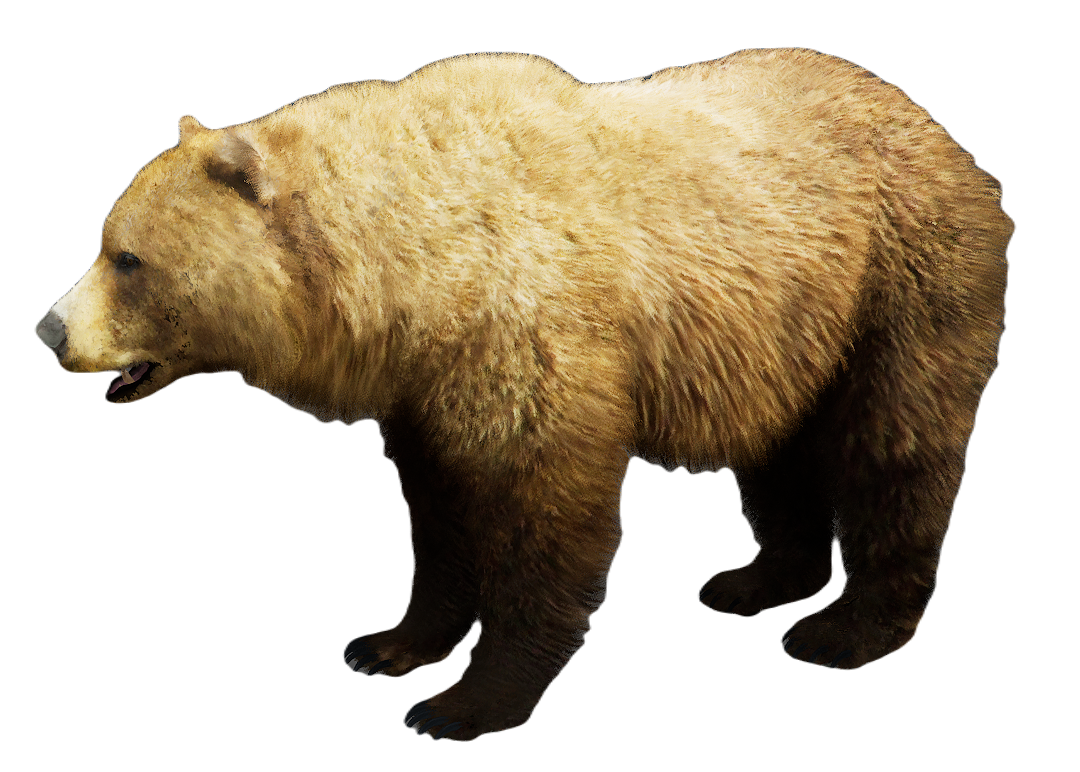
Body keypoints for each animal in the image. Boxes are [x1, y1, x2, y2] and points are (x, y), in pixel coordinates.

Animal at [33, 48, 1011, 741]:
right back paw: (755, 580)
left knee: (897, 443)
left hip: (899, 275)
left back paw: (846, 627)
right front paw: (388, 645)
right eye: (106, 241)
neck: (416, 275)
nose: (49, 330)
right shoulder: (424, 387)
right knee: (779, 447)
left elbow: (545, 520)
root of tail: (938, 128)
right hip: (786, 321)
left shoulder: (531, 337)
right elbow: (438, 515)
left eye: (126, 258)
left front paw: (462, 705)